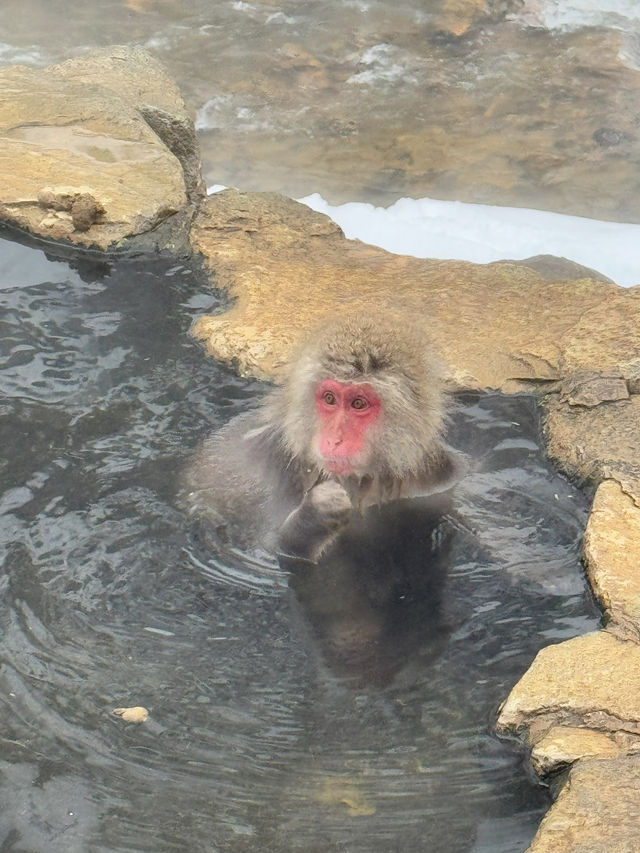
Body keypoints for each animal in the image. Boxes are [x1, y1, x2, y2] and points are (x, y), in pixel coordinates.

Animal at [182, 312, 462, 564]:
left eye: (358, 404)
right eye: (329, 399)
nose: (334, 440)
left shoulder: (439, 473)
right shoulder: (276, 474)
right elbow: (261, 553)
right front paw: (315, 515)